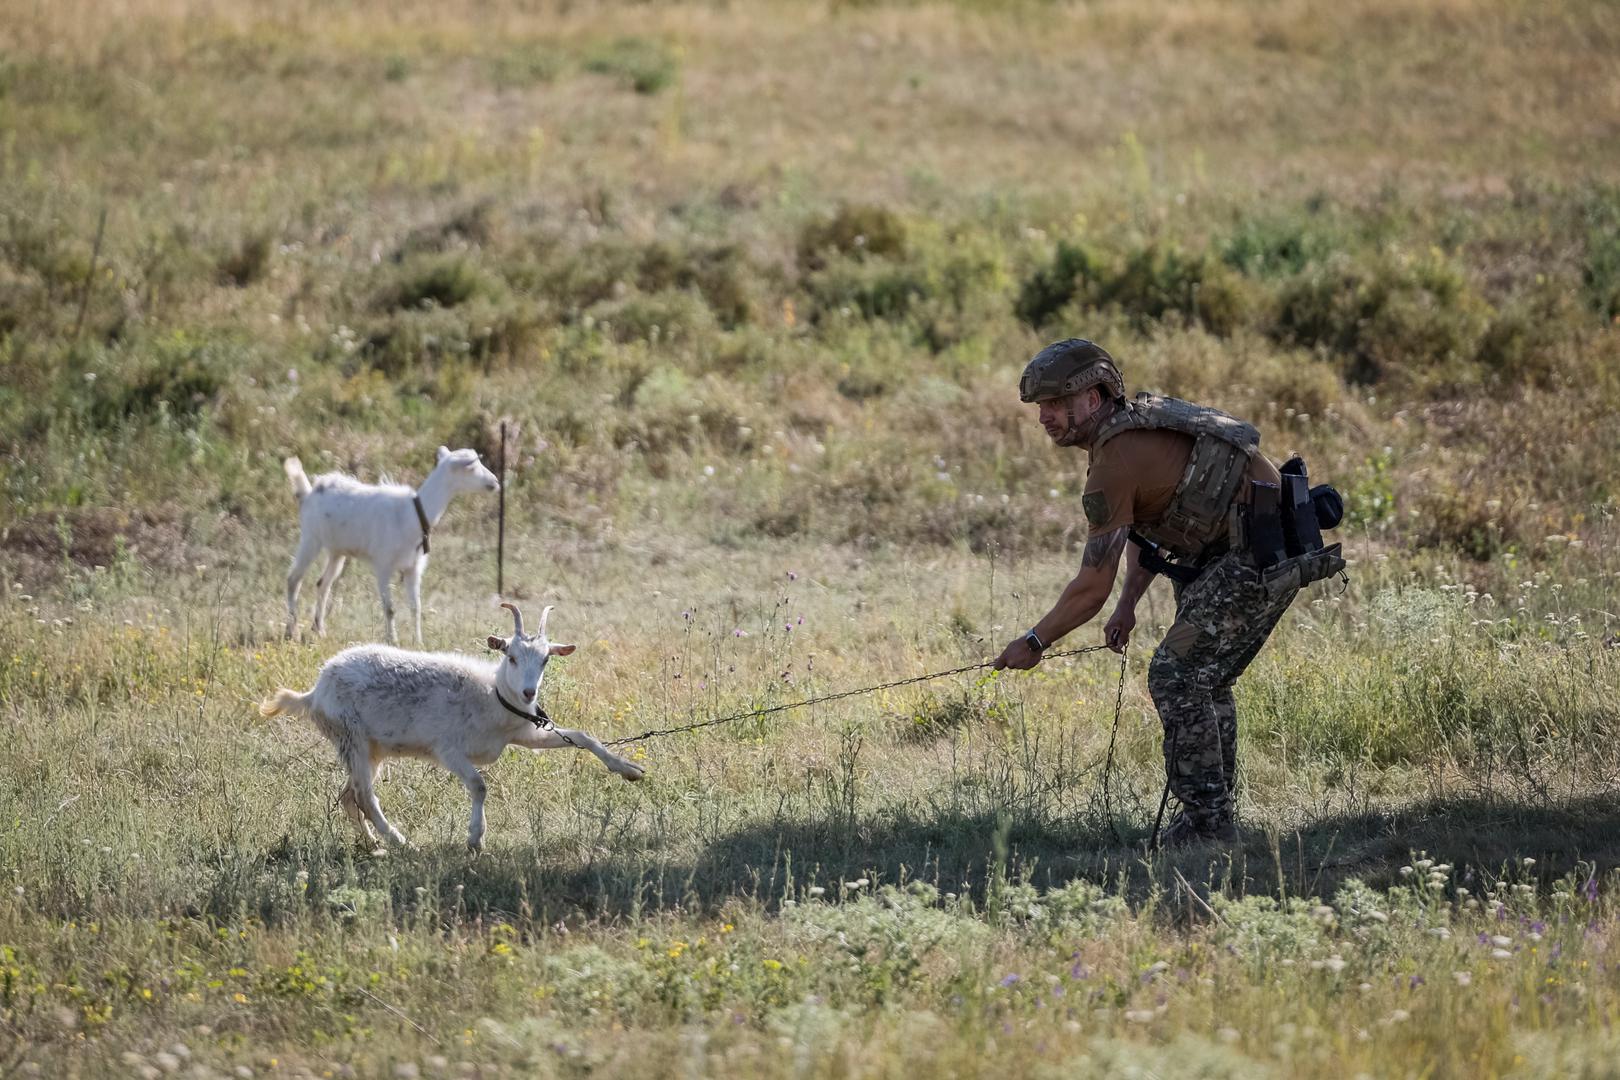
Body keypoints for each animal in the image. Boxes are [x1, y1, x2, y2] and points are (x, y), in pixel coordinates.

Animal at [257, 605, 638, 848]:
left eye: (546, 659)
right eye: (511, 656)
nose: (529, 692)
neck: (492, 696)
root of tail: (314, 691)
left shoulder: (522, 732)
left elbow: (581, 737)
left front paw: (628, 769)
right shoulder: (447, 749)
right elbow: (479, 785)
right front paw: (475, 838)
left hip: (370, 749)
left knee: (348, 797)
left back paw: (372, 844)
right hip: (352, 739)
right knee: (364, 795)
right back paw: (400, 841)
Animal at [286, 446, 498, 647]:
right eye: (471, 467)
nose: (495, 482)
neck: (413, 514)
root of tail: (309, 493)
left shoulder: (413, 568)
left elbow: (416, 607)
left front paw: (418, 642)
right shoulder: (383, 565)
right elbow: (390, 608)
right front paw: (392, 640)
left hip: (337, 550)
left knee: (323, 583)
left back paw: (319, 629)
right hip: (311, 538)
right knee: (294, 579)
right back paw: (291, 632)